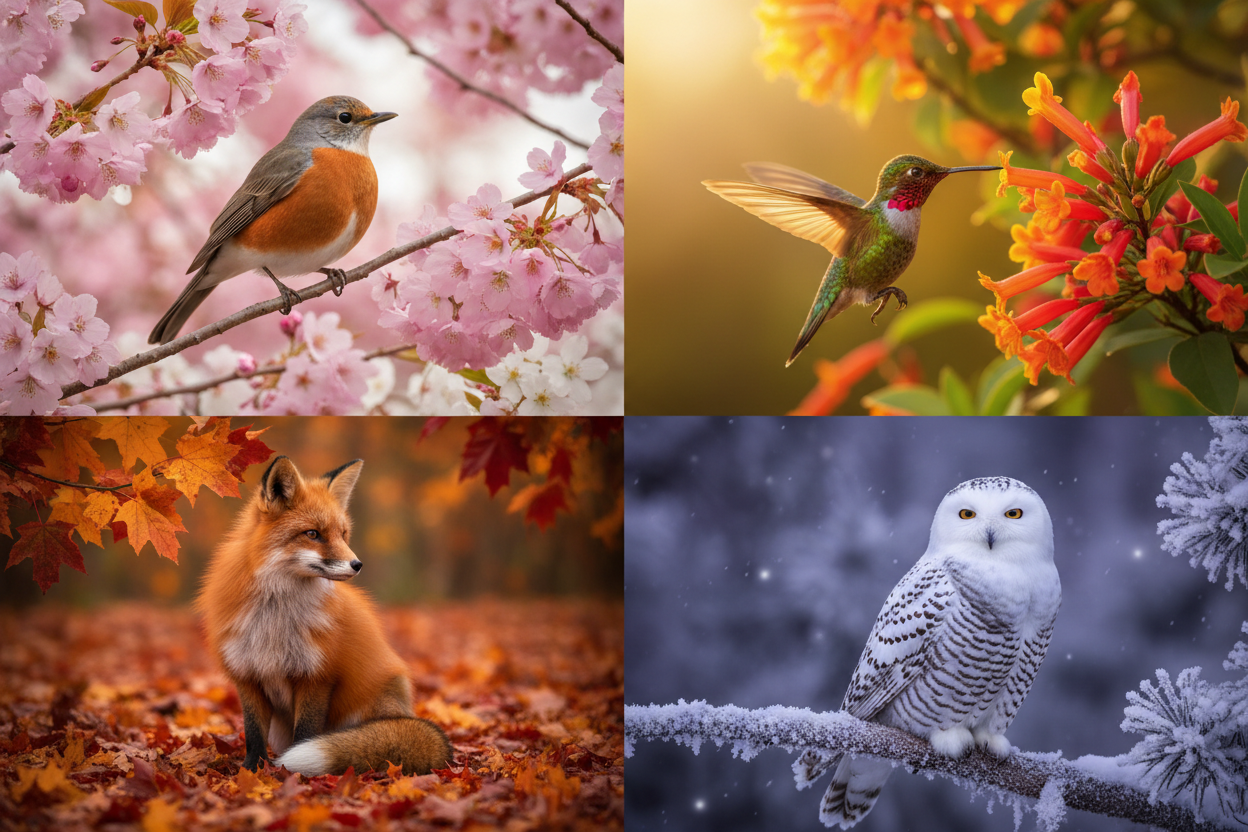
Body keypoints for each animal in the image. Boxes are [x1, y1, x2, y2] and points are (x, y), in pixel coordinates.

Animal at [197, 455, 452, 776]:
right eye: (312, 534)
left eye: (342, 534)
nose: (357, 564)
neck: (274, 619)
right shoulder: (247, 675)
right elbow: (253, 733)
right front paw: (252, 770)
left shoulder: (316, 675)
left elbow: (305, 732)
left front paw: (290, 772)